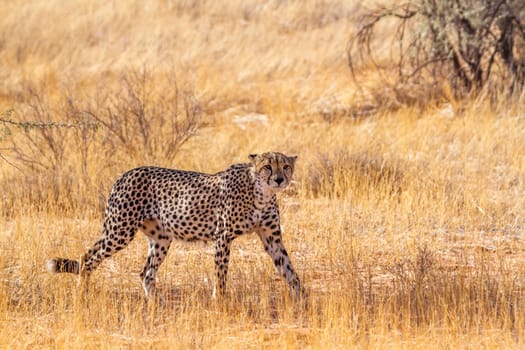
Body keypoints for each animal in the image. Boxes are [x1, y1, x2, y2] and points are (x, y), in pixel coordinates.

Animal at [49, 152, 302, 300]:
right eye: (267, 166)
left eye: (286, 166)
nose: (279, 179)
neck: (261, 194)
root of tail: (126, 173)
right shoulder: (223, 236)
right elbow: (221, 273)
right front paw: (220, 301)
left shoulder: (271, 238)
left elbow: (290, 270)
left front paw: (302, 299)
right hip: (120, 232)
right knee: (88, 258)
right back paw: (82, 293)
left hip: (160, 238)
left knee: (145, 272)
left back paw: (156, 303)